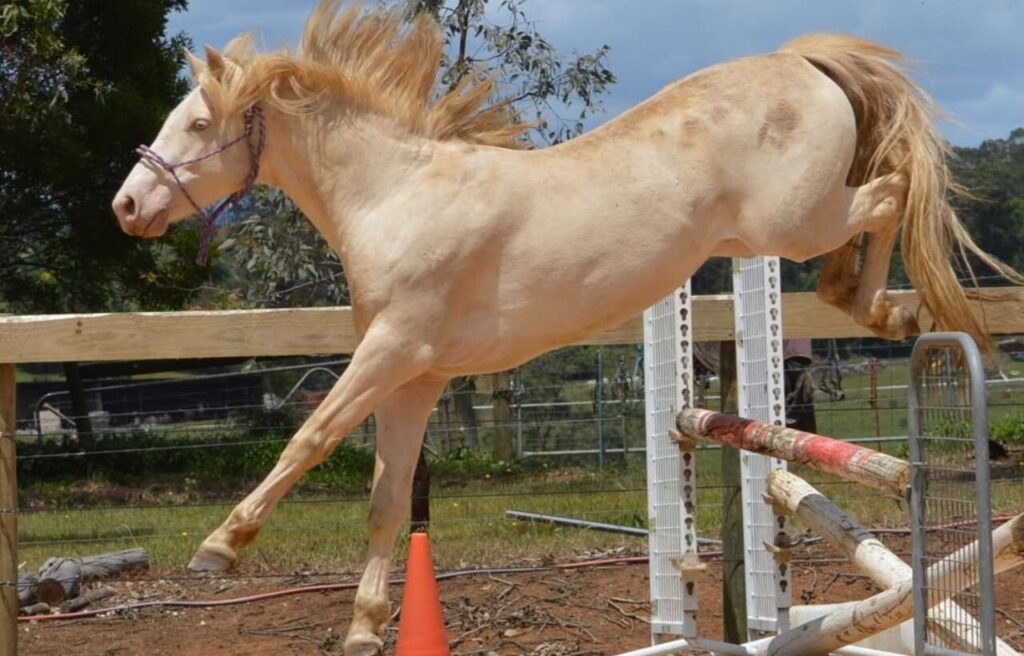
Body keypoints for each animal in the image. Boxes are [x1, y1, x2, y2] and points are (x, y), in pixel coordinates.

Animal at [111, 4, 1021, 653]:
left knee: (895, 189)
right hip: (781, 231)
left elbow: (309, 438)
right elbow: (384, 499)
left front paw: (220, 547)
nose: (126, 206)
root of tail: (797, 58)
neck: (397, 196)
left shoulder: (392, 349)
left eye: (198, 125)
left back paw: (890, 307)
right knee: (883, 202)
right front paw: (366, 629)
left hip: (796, 223)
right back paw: (888, 309)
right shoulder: (416, 376)